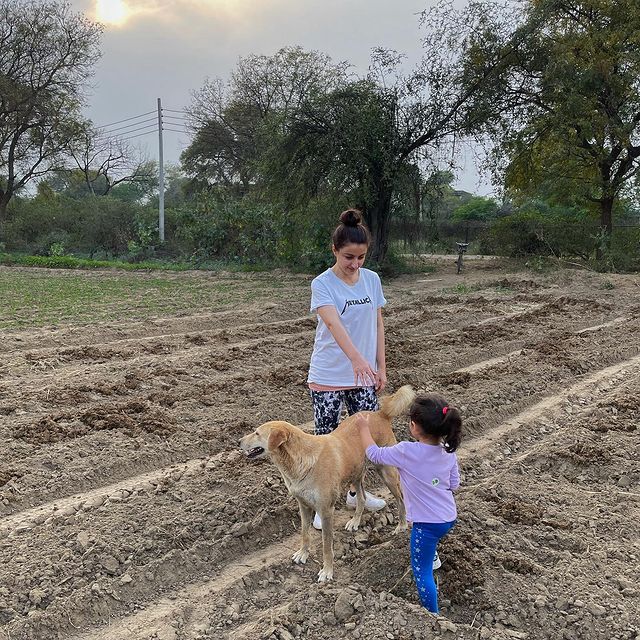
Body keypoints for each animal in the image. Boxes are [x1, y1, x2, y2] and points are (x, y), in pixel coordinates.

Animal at [238, 384, 412, 580]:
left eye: (257, 433)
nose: (238, 441)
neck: (299, 460)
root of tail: (381, 414)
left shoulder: (327, 510)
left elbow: (327, 545)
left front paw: (327, 570)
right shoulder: (303, 505)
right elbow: (304, 533)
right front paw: (303, 553)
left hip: (386, 471)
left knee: (400, 498)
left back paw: (401, 526)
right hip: (356, 472)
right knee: (361, 497)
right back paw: (355, 521)